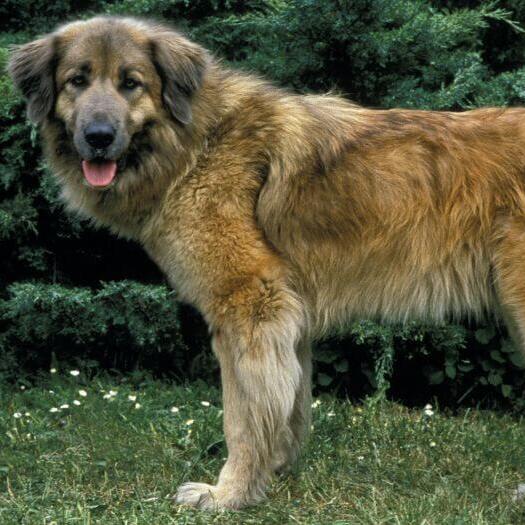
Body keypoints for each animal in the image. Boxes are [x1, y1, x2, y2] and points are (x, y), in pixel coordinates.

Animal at [7, 15, 524, 508]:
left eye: (130, 82)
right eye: (77, 80)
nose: (98, 137)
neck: (199, 143)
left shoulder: (251, 308)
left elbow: (243, 417)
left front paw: (229, 494)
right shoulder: (287, 322)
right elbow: (288, 406)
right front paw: (272, 474)